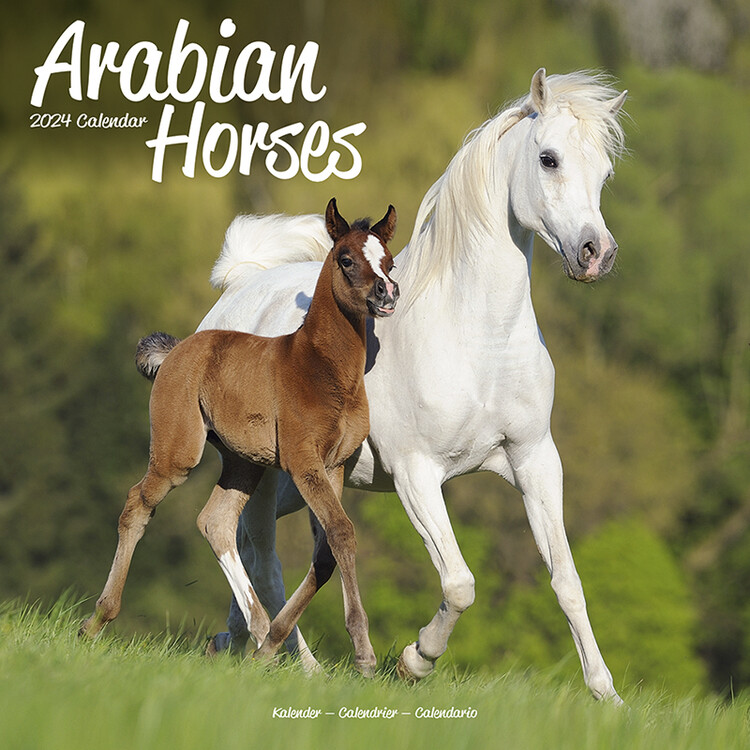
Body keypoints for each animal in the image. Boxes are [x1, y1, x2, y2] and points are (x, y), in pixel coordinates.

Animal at [79, 198, 399, 675]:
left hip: (243, 463)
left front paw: (275, 646)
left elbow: (326, 550)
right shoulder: (304, 463)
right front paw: (364, 655)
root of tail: (178, 349)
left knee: (215, 522)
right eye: (345, 259)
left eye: (389, 260)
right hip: (178, 452)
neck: (320, 366)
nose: (387, 293)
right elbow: (342, 532)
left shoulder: (335, 464)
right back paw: (98, 619)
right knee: (138, 502)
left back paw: (262, 637)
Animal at [197, 69, 627, 702]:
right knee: (259, 551)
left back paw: (237, 641)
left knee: (255, 549)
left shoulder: (535, 460)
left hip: (292, 485)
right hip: (267, 470)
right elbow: (459, 583)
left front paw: (606, 695)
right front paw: (413, 660)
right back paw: (294, 662)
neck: (478, 338)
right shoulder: (417, 475)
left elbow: (566, 579)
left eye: (604, 171)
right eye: (548, 158)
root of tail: (237, 289)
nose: (596, 254)